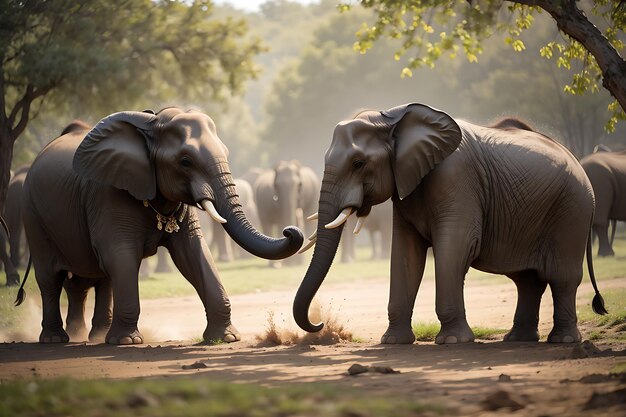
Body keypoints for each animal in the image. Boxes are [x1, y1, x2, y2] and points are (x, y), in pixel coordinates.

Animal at [18, 107, 302, 344]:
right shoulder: (108, 193)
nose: (290, 230)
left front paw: (226, 338)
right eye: (185, 161)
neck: (153, 125)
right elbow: (121, 254)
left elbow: (193, 254)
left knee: (100, 278)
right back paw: (57, 339)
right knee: (50, 277)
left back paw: (95, 336)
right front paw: (128, 342)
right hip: (32, 213)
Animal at [292, 103, 604, 344]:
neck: (392, 118)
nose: (320, 323)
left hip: (571, 211)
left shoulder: (456, 178)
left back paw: (562, 340)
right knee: (527, 281)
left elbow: (455, 247)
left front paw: (453, 341)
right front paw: (393, 341)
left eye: (358, 163)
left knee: (562, 277)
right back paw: (518, 339)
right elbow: (406, 255)